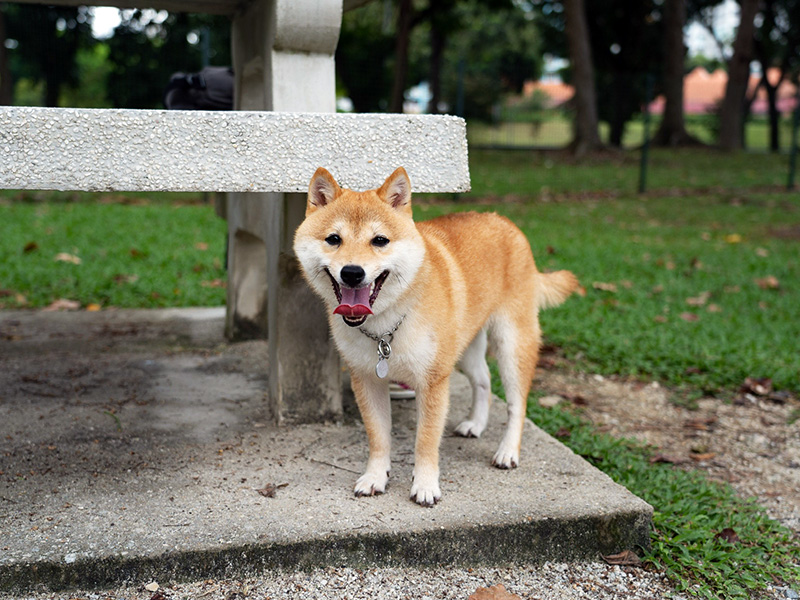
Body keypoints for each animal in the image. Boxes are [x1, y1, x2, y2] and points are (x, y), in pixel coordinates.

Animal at [294, 168, 580, 506]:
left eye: (380, 240)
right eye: (333, 239)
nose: (352, 272)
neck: (385, 327)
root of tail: (505, 222)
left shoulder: (433, 381)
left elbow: (426, 440)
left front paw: (425, 485)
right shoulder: (366, 379)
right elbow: (378, 438)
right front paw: (375, 477)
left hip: (511, 345)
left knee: (516, 404)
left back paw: (508, 451)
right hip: (464, 349)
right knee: (483, 380)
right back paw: (475, 424)